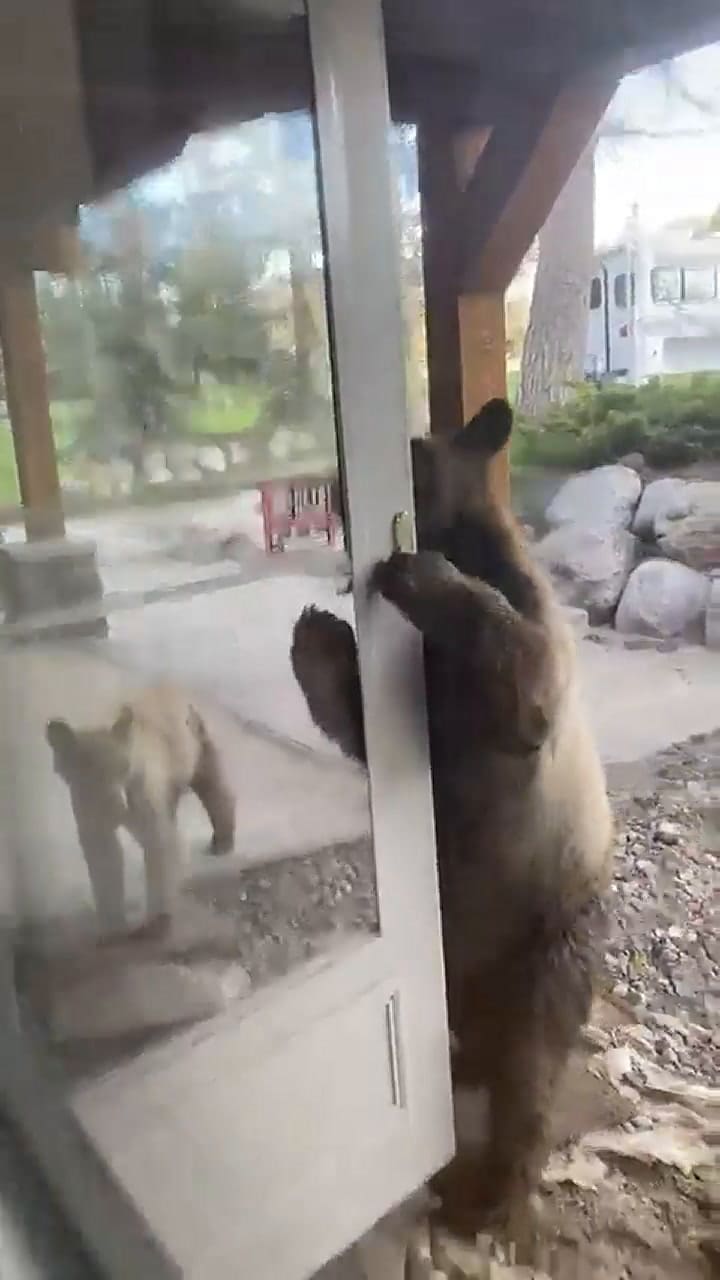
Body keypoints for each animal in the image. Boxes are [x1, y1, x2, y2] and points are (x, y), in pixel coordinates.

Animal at [46, 684, 235, 940]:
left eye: (122, 766)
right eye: (86, 770)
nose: (114, 804)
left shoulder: (149, 814)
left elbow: (160, 856)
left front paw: (157, 923)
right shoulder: (93, 822)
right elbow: (105, 863)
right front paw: (113, 926)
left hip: (201, 754)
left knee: (217, 792)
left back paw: (222, 843)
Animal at [290, 398, 613, 1248]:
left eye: (410, 449)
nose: (331, 481)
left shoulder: (525, 651)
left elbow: (520, 675)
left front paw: (416, 574)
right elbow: (363, 722)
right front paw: (318, 636)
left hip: (545, 938)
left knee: (529, 1069)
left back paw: (488, 1190)